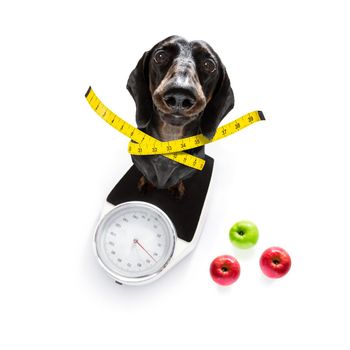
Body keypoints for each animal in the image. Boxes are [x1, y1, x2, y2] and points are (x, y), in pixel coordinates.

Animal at [127, 36, 234, 198]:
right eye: (160, 56)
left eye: (209, 65)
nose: (179, 96)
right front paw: (145, 183)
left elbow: (179, 179)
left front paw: (177, 188)